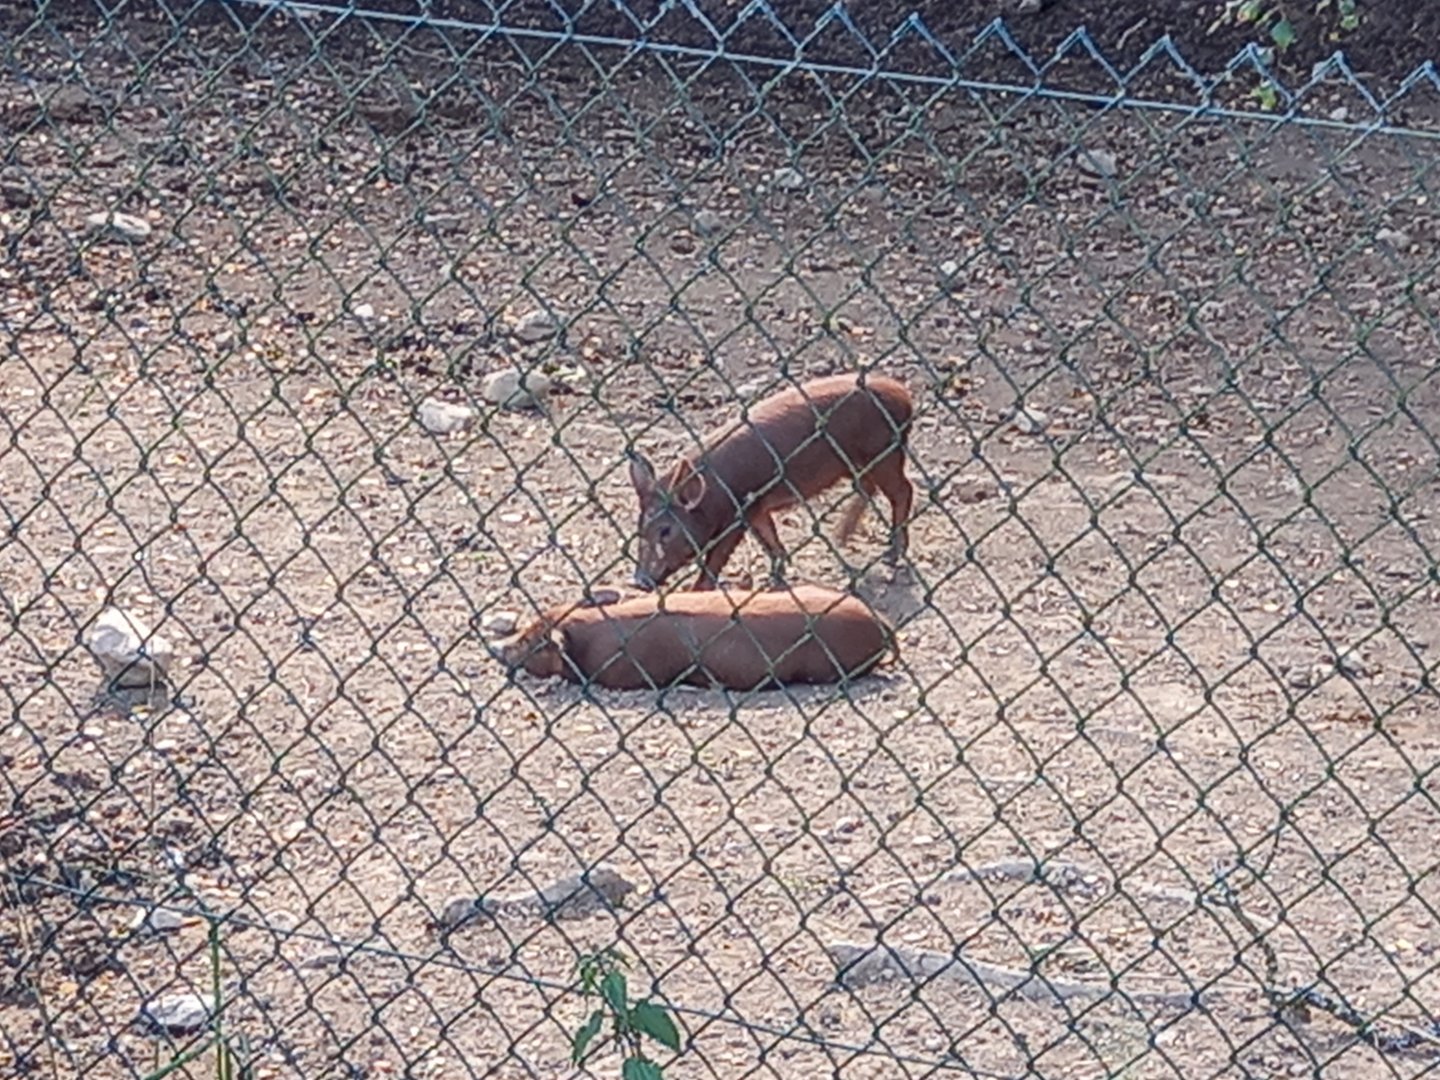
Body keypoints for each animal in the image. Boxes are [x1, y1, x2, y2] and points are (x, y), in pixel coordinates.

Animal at [626, 372, 915, 591]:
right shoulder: (756, 506)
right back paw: (841, 536)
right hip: (859, 463)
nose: (640, 581)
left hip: (886, 454)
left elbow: (716, 559)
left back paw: (891, 555)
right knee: (868, 487)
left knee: (903, 490)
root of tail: (904, 394)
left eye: (665, 530)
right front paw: (774, 576)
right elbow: (768, 536)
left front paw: (695, 591)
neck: (713, 494)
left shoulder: (737, 514)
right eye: (640, 528)